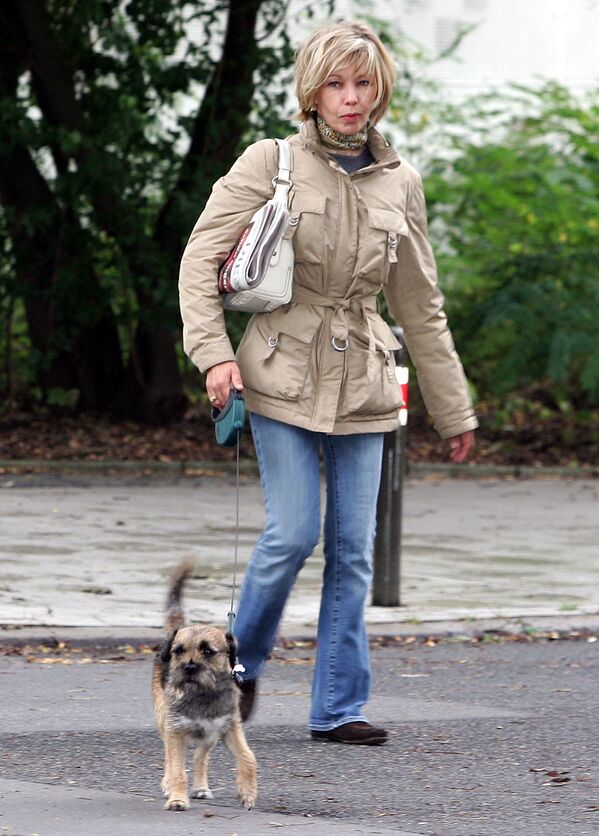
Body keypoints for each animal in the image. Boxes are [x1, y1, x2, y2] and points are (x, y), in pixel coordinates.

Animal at [151, 560, 256, 808]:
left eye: (208, 651)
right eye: (179, 651)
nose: (189, 668)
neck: (202, 695)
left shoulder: (229, 728)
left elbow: (248, 757)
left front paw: (247, 792)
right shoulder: (175, 731)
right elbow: (177, 768)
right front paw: (177, 799)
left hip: (210, 737)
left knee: (201, 757)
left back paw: (200, 787)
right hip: (163, 720)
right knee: (170, 757)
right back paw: (169, 784)